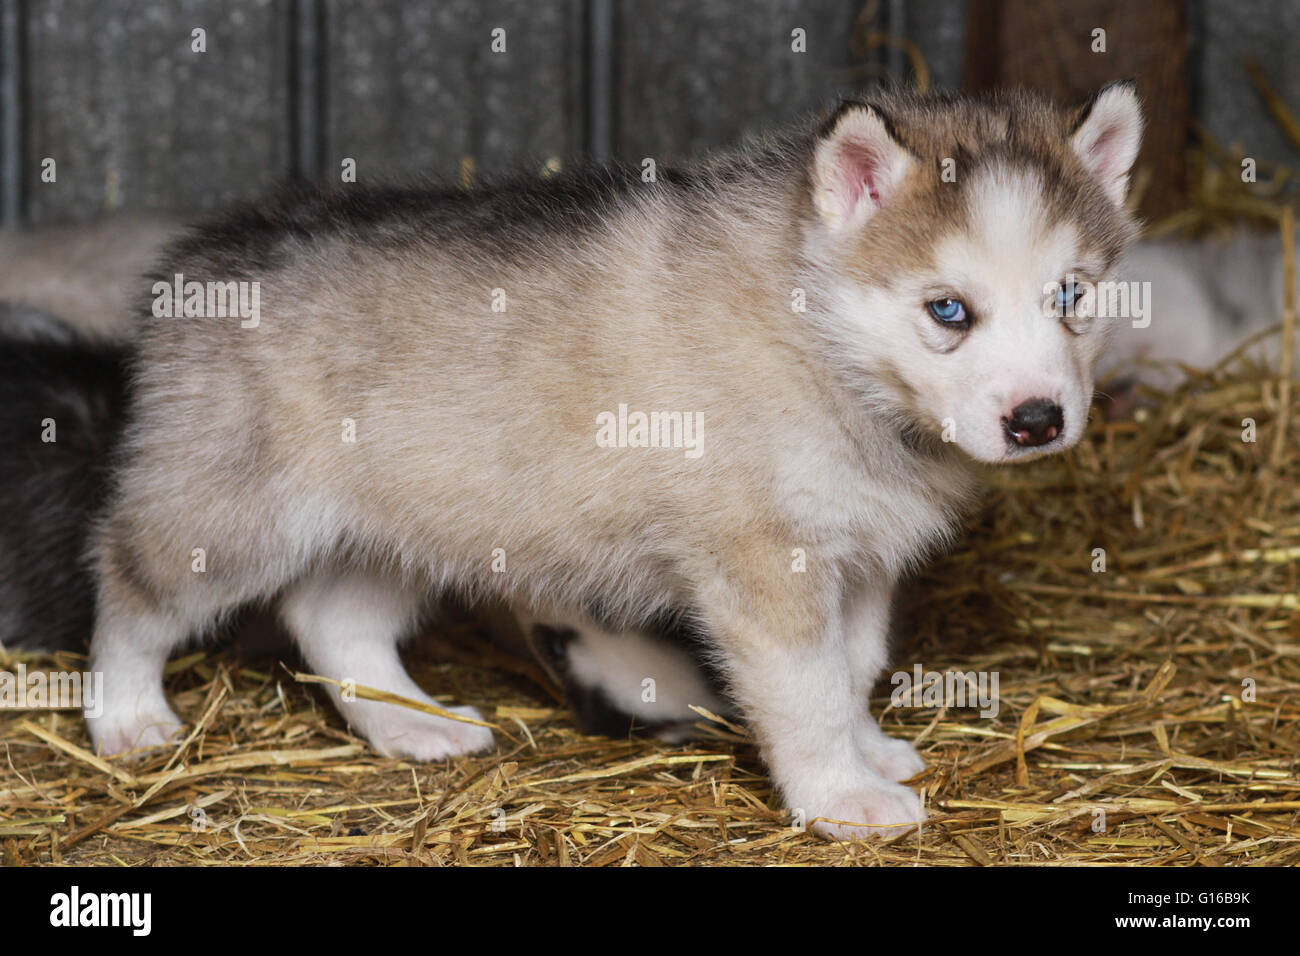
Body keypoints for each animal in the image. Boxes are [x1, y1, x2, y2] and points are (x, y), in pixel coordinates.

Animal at [86, 85, 1144, 842]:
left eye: (1070, 295)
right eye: (948, 310)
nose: (1038, 419)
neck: (822, 342)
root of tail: (204, 254)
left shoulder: (859, 556)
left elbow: (853, 668)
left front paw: (868, 753)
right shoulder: (763, 560)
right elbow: (805, 688)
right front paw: (840, 797)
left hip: (402, 522)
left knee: (332, 619)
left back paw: (414, 725)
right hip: (228, 515)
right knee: (130, 586)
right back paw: (126, 717)